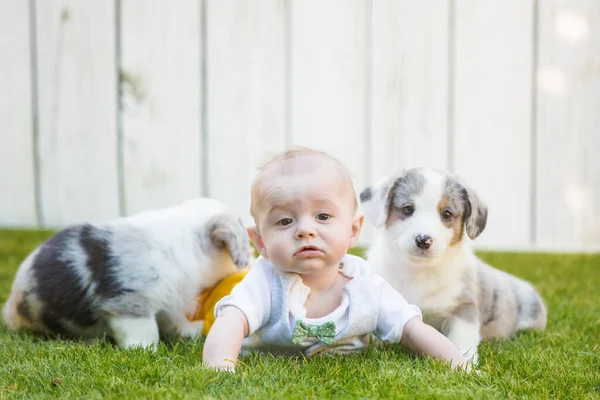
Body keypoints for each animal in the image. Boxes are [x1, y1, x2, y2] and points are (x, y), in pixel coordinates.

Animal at [360, 167, 548, 364]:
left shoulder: (462, 311)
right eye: (408, 209)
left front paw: (466, 366)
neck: (419, 270)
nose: (423, 240)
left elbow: (462, 345)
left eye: (447, 214)